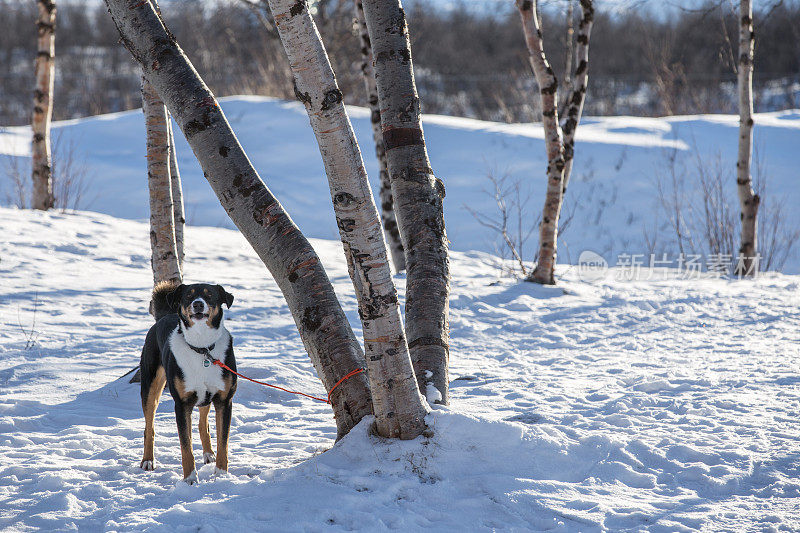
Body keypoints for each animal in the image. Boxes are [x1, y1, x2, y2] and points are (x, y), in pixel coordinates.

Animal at [138, 280, 236, 484]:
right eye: (188, 296)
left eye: (209, 295)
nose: (198, 304)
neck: (202, 348)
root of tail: (164, 316)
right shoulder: (182, 405)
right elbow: (186, 447)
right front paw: (190, 479)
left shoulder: (224, 401)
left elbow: (223, 442)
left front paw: (221, 475)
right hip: (150, 388)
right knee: (149, 428)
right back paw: (148, 460)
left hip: (205, 396)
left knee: (202, 425)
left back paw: (208, 454)